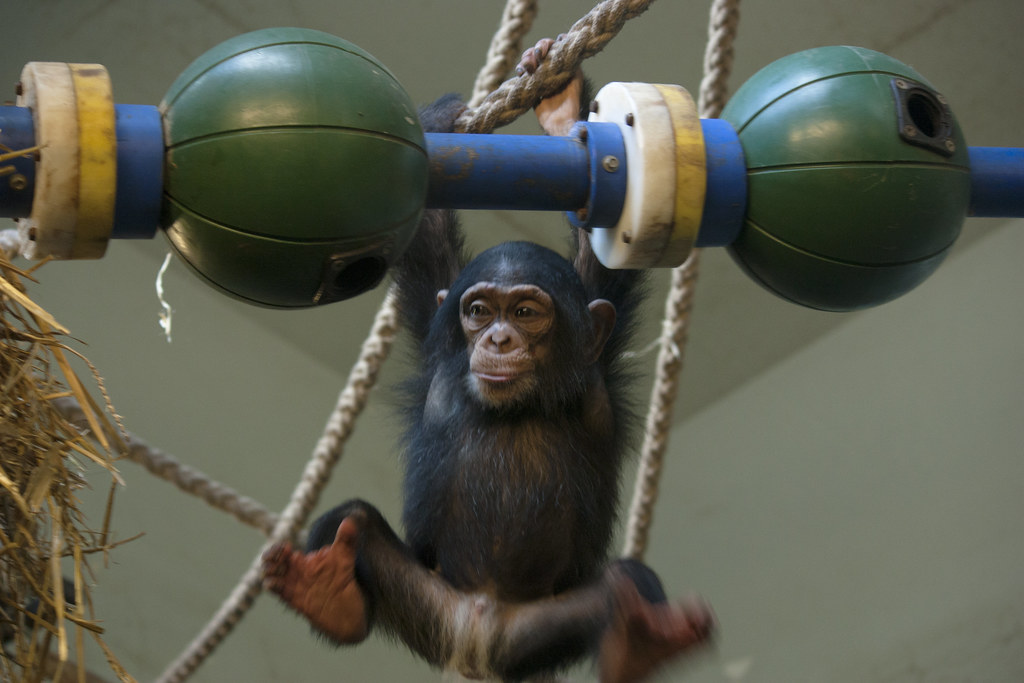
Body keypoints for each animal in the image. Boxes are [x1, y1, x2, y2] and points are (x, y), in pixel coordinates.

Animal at [263, 39, 715, 682]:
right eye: (478, 311)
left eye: (525, 312)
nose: (498, 339)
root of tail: (476, 635)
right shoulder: (439, 335)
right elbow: (425, 238)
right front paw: (527, 108)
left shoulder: (596, 361)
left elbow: (604, 265)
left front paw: (563, 106)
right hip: (427, 604)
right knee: (349, 522)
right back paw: (329, 595)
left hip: (540, 635)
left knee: (626, 583)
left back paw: (638, 642)